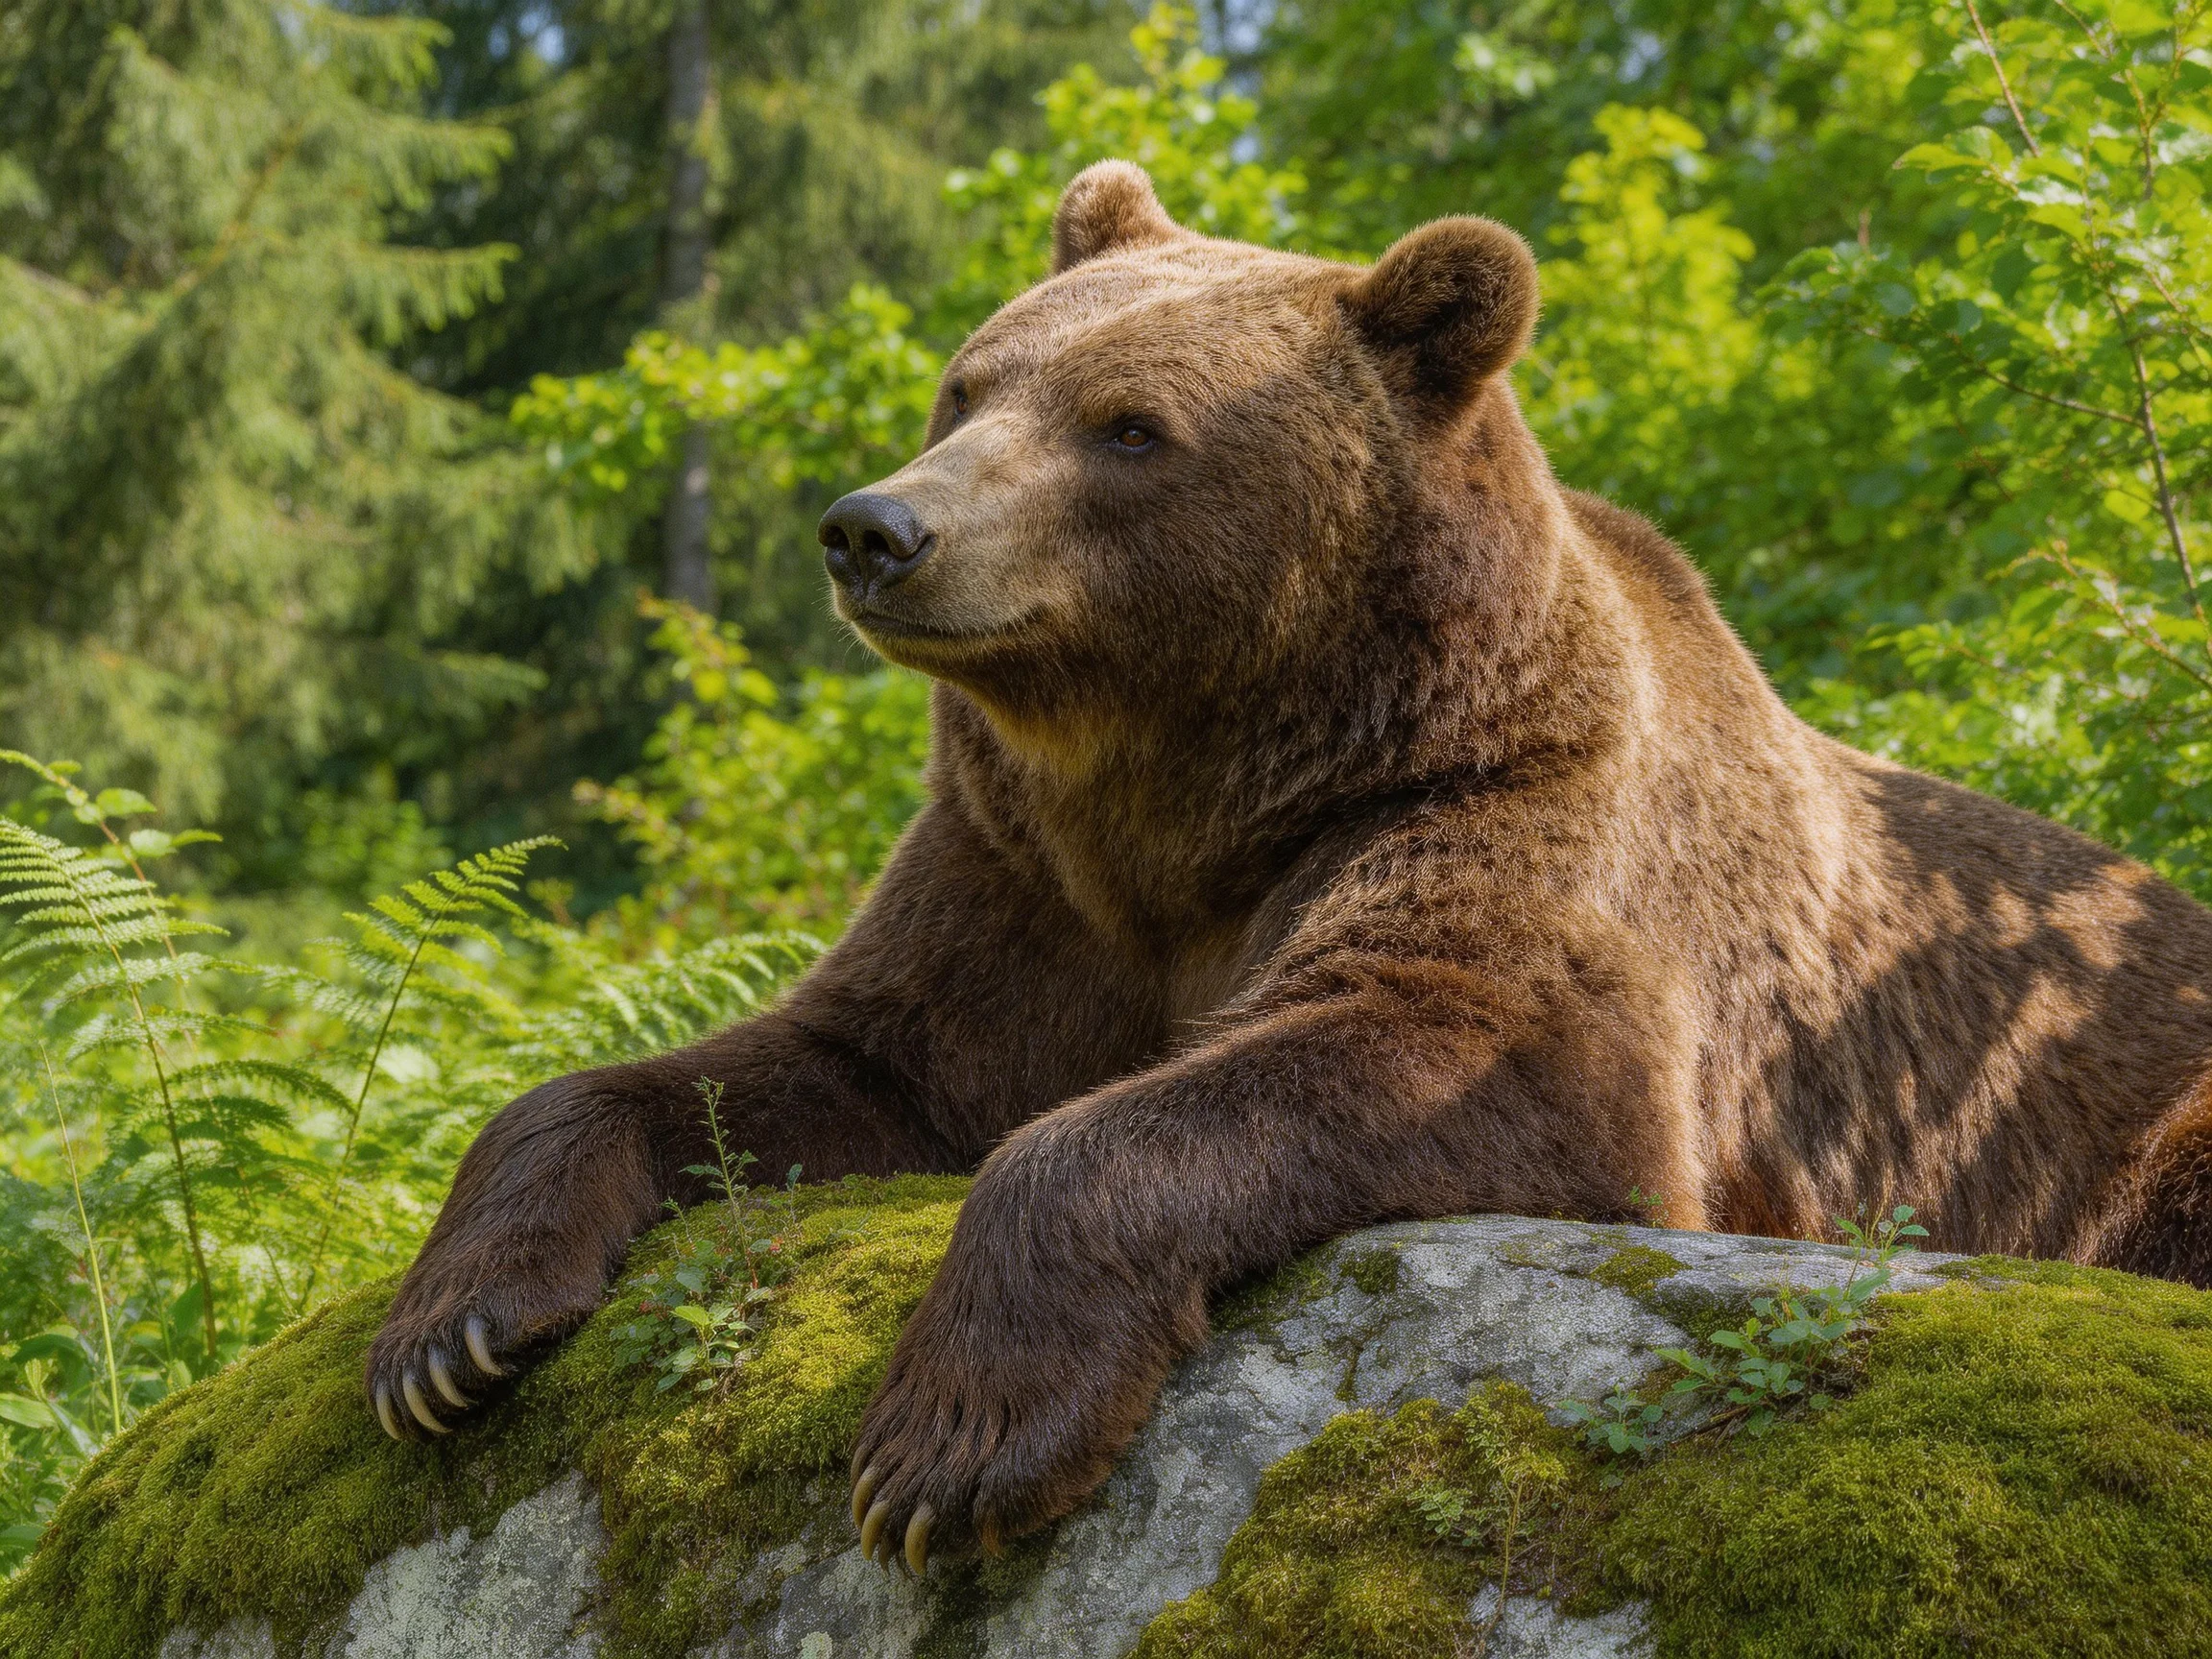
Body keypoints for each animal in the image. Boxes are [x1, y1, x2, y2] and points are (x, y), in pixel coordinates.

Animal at [366, 160, 2212, 1575]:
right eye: (969, 386)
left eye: (1128, 426)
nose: (876, 528)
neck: (1196, 777)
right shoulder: (1021, 881)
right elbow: (833, 1059)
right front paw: (447, 1330)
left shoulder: (1492, 807)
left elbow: (1446, 1048)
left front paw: (952, 1441)